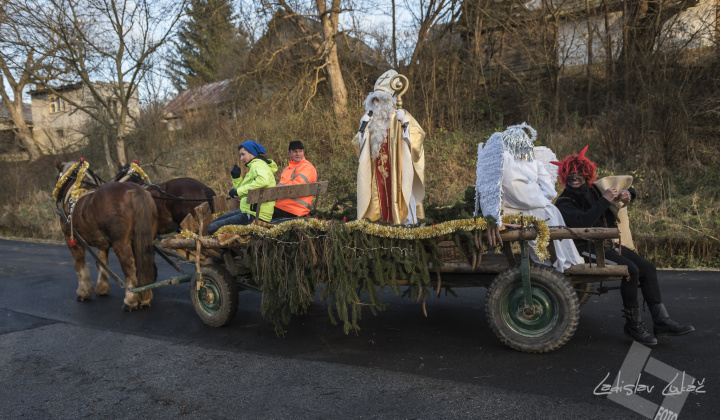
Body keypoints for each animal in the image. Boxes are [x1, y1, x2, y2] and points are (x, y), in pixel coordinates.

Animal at [54, 159, 158, 310]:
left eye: (58, 176)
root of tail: (135, 189)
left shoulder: (71, 240)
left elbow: (79, 264)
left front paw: (83, 292)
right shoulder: (102, 243)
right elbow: (102, 263)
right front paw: (102, 288)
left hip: (121, 242)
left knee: (129, 266)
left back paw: (130, 300)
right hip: (145, 239)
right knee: (144, 262)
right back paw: (145, 297)